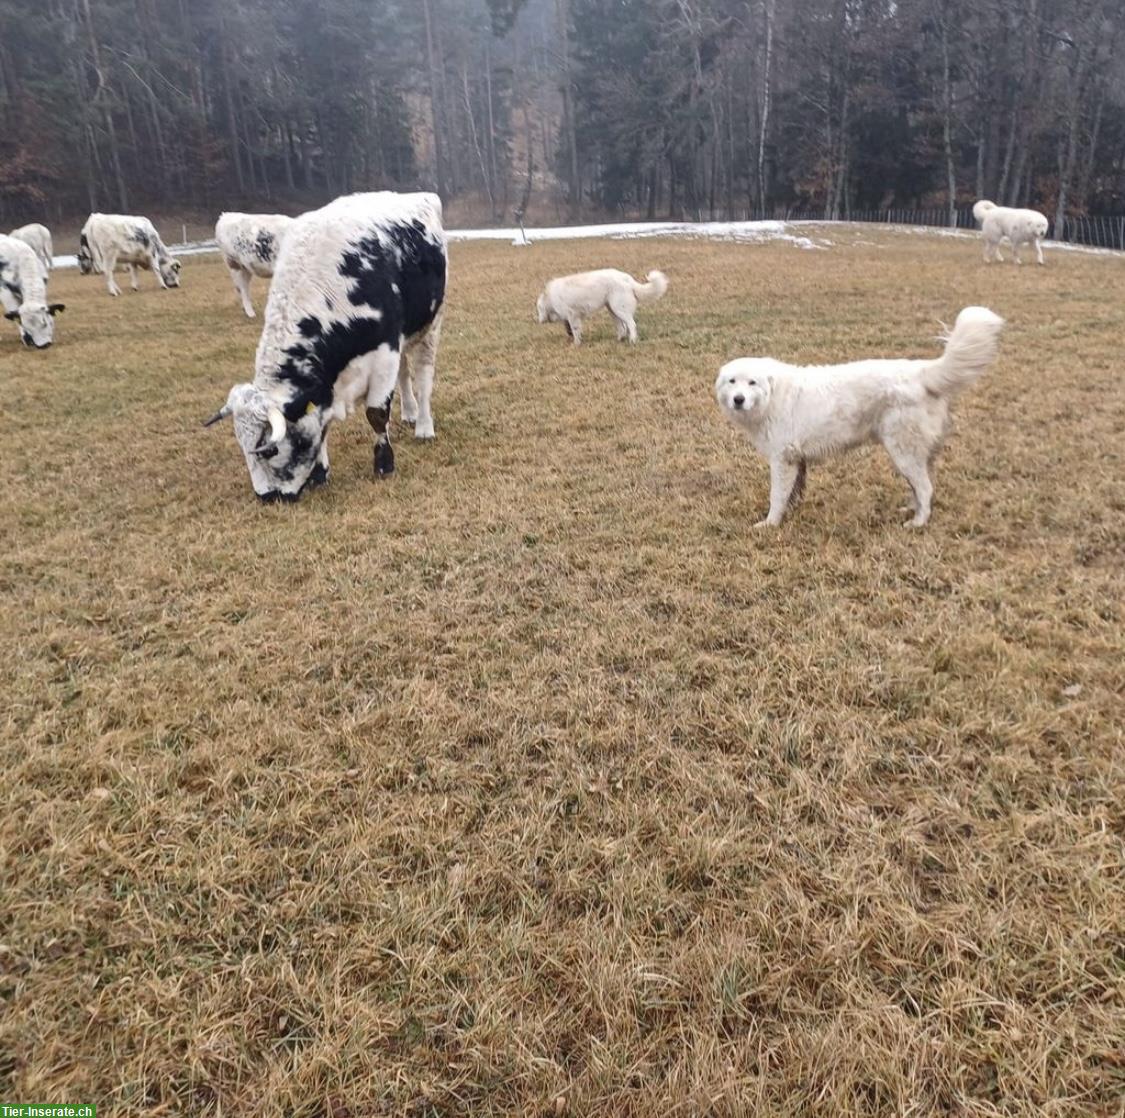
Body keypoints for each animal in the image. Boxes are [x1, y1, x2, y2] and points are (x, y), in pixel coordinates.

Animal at [202, 191, 447, 501]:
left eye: (269, 450)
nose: (267, 497)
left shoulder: (384, 355)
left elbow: (376, 413)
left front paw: (384, 464)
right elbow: (322, 423)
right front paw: (320, 472)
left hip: (429, 327)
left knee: (424, 376)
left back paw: (424, 425)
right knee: (405, 374)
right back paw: (410, 412)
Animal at [535, 267, 666, 341]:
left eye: (539, 309)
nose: (539, 321)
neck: (550, 297)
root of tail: (627, 279)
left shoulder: (572, 315)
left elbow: (575, 329)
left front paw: (576, 344)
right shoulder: (571, 316)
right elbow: (572, 328)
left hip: (619, 309)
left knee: (631, 325)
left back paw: (632, 340)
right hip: (613, 310)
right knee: (622, 327)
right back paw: (619, 339)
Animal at [715, 308, 1008, 528]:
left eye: (752, 383)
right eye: (732, 381)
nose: (738, 399)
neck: (772, 395)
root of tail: (921, 371)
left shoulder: (782, 460)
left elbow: (777, 496)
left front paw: (770, 524)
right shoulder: (797, 460)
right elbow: (794, 493)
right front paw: (791, 512)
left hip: (903, 450)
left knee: (925, 488)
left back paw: (917, 523)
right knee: (920, 486)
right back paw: (910, 510)